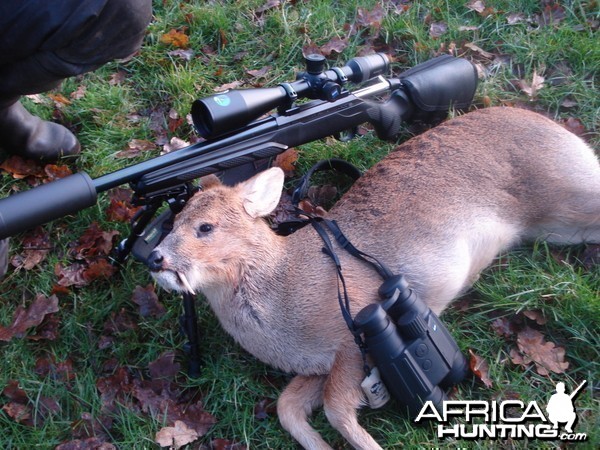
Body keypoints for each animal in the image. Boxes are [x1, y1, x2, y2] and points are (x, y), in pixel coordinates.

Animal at [148, 108, 596, 450]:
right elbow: (287, 407)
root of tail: (557, 128)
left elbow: (336, 409)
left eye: (205, 227)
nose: (154, 258)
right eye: (173, 222)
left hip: (570, 194)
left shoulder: (354, 333)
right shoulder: (319, 365)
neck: (282, 291)